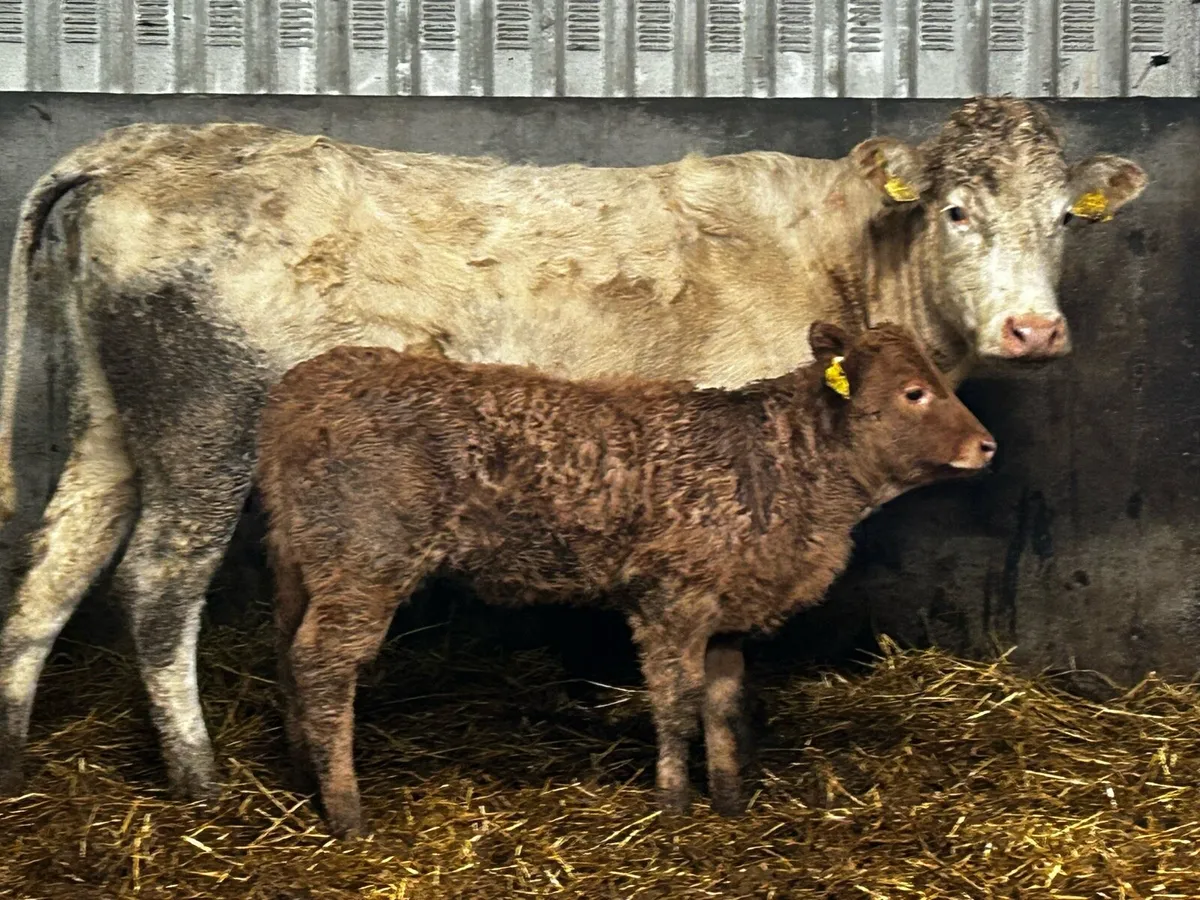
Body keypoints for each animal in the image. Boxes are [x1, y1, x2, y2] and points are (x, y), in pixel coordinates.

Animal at [258, 322, 996, 837]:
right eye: (914, 392)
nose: (988, 445)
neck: (783, 467)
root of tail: (309, 385)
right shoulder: (673, 600)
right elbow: (675, 702)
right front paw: (673, 804)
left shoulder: (727, 611)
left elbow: (723, 704)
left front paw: (729, 802)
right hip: (365, 562)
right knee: (323, 664)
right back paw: (347, 811)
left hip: (302, 562)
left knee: (289, 654)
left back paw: (302, 774)